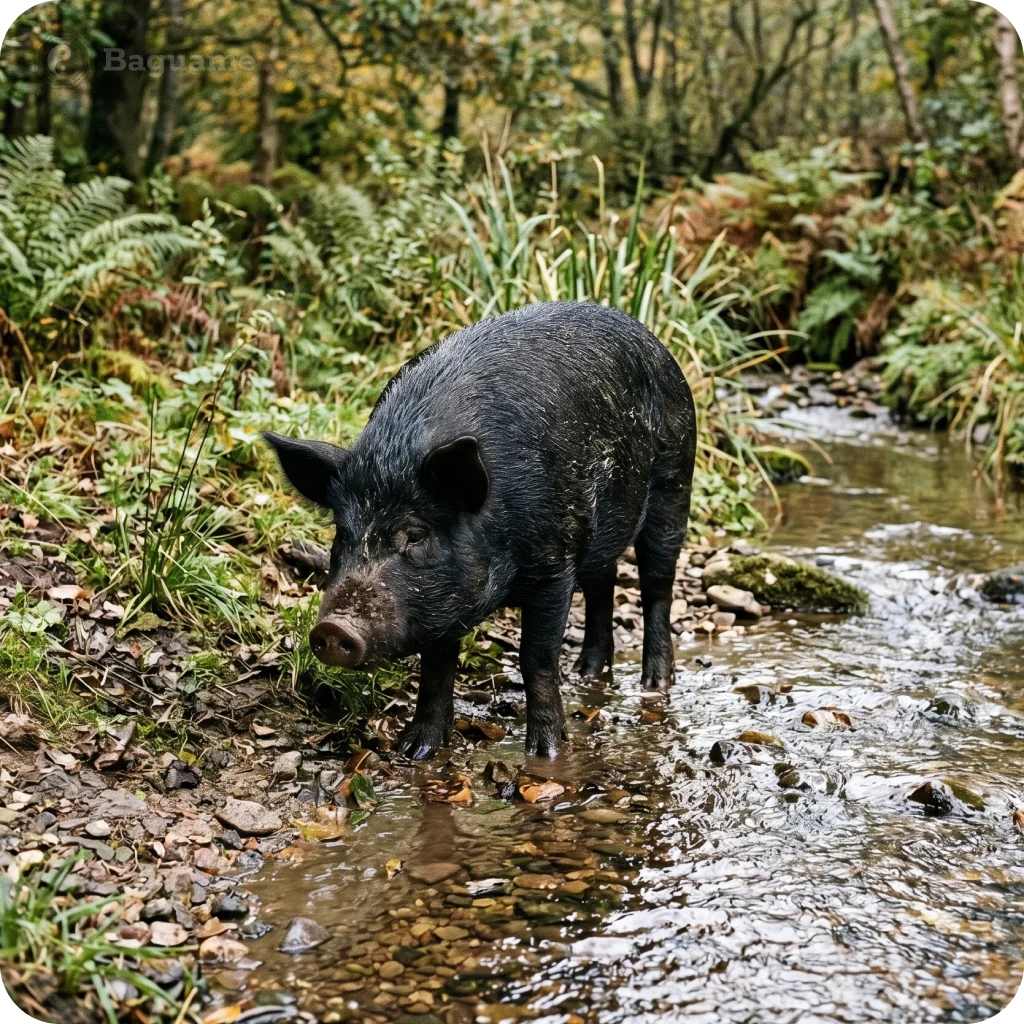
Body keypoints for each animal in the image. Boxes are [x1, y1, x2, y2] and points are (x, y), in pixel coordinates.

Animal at [264, 301, 696, 758]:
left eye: (415, 534)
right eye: (342, 533)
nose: (333, 628)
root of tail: (655, 343)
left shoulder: (554, 566)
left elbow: (536, 658)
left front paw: (546, 753)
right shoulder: (439, 598)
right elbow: (437, 666)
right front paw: (415, 751)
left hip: (674, 483)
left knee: (657, 585)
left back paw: (656, 682)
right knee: (604, 582)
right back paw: (588, 673)